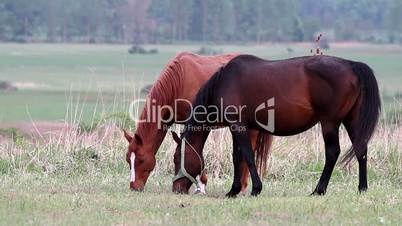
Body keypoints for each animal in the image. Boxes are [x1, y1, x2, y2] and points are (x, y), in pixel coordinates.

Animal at [171, 54, 382, 196]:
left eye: (176, 158)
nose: (176, 189)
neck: (224, 82)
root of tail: (351, 65)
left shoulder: (238, 126)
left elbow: (247, 156)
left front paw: (255, 189)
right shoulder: (240, 127)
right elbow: (237, 157)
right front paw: (234, 190)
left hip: (329, 122)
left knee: (332, 152)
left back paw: (318, 190)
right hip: (351, 120)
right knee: (361, 150)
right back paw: (362, 188)